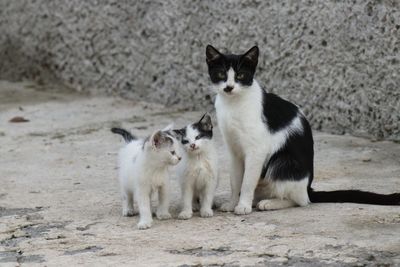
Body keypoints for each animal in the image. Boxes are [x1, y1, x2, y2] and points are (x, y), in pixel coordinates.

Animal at [206, 44, 400, 216]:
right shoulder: (234, 151)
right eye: (221, 74)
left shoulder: (256, 150)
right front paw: (232, 204)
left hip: (282, 162)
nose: (229, 87)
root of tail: (308, 186)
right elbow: (235, 181)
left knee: (300, 200)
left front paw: (243, 206)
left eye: (241, 75)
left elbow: (247, 182)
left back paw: (269, 203)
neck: (233, 104)